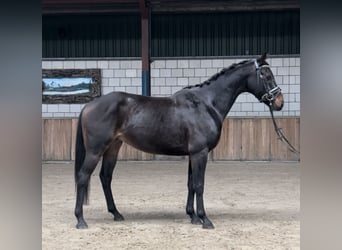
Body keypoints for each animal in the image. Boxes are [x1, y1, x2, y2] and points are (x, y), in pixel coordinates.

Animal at [74, 53, 284, 229]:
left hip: (113, 148)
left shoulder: (193, 154)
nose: (279, 101)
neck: (206, 104)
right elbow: (199, 184)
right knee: (83, 177)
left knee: (105, 177)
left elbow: (191, 183)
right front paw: (205, 219)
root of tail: (89, 105)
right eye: (265, 74)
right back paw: (81, 220)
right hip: (95, 150)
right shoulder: (200, 153)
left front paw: (193, 216)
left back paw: (116, 213)